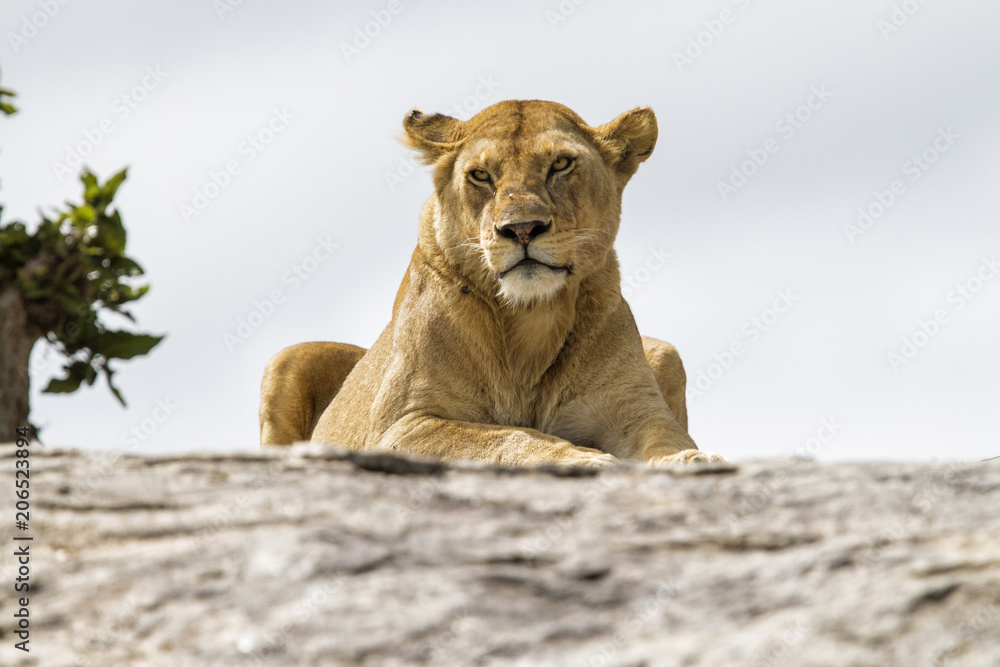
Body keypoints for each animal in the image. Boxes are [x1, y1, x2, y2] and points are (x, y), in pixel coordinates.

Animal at [259, 100, 723, 467]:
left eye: (560, 164)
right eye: (481, 175)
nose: (522, 229)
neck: (530, 318)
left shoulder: (634, 408)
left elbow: (665, 438)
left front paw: (692, 459)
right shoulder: (402, 426)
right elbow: (503, 437)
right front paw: (580, 457)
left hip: (665, 353)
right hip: (288, 358)